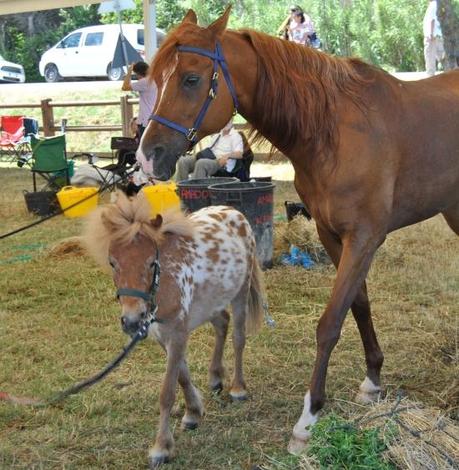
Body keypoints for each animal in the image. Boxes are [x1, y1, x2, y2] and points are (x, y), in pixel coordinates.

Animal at [139, 8, 459, 456]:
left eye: (190, 79)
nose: (148, 155)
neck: (335, 130)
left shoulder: (365, 238)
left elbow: (330, 323)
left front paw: (308, 419)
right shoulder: (333, 235)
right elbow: (359, 306)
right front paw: (372, 381)